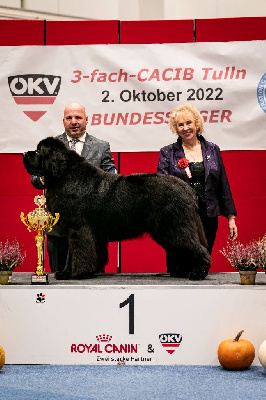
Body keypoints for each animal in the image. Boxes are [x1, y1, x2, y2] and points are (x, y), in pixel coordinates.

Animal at [22, 138, 211, 282]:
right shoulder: (75, 231)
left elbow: (78, 252)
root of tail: (187, 188)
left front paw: (75, 274)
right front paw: (65, 272)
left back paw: (198, 273)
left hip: (174, 226)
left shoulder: (78, 229)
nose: (24, 154)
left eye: (38, 151)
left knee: (196, 247)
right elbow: (71, 254)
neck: (65, 174)